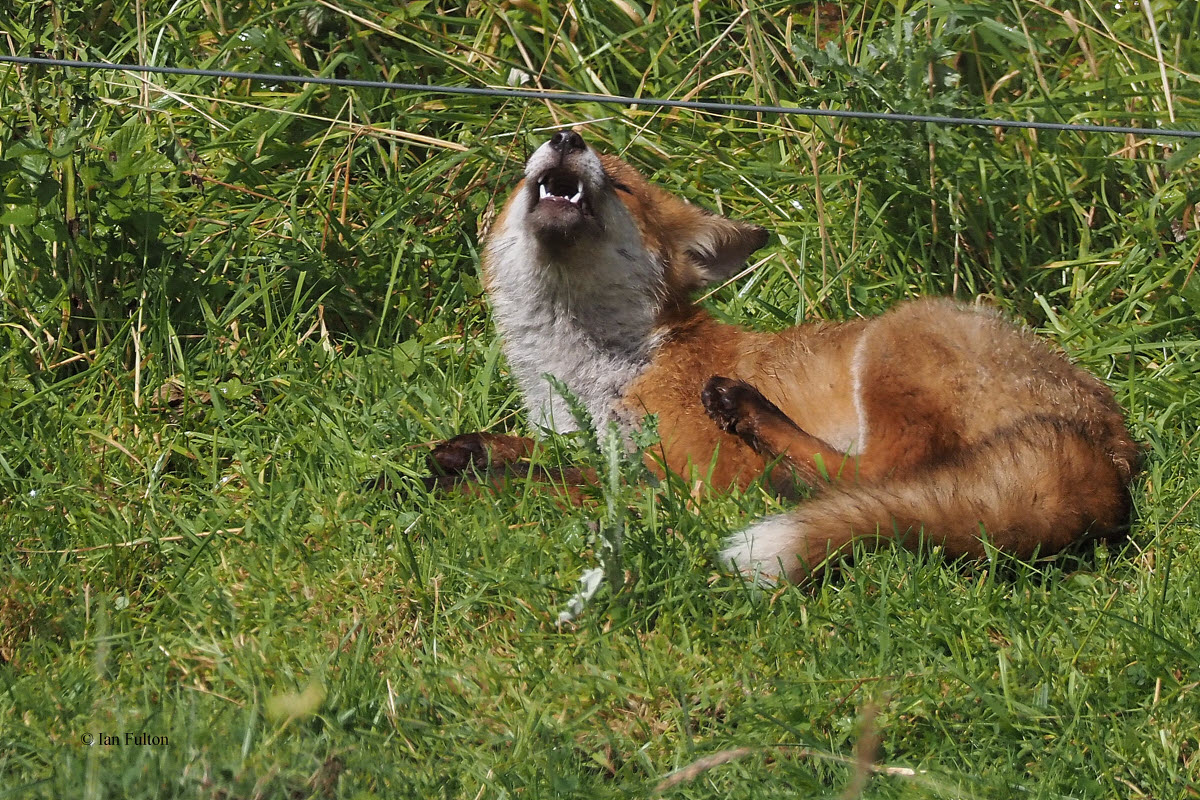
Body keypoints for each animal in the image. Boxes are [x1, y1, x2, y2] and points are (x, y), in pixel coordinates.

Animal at [434, 130, 1142, 582]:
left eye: (626, 189)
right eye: (522, 177)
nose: (566, 136)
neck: (597, 377)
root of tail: (1112, 453)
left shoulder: (703, 476)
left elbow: (589, 486)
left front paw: (493, 481)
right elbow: (561, 459)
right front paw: (481, 452)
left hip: (896, 341)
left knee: (874, 475)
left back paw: (753, 414)